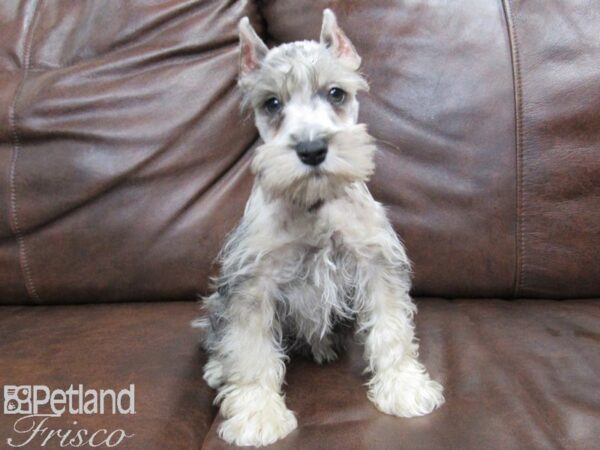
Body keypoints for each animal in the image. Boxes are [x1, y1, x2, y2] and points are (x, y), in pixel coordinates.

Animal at [195, 9, 442, 446]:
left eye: (336, 94)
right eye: (272, 102)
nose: (312, 149)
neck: (315, 204)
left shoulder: (377, 263)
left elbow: (392, 329)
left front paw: (404, 386)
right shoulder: (252, 281)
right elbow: (250, 349)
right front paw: (257, 413)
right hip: (218, 302)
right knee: (217, 333)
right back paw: (218, 368)